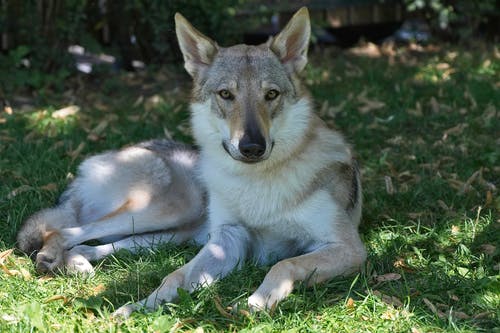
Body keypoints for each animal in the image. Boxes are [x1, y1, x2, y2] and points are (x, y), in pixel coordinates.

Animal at [16, 7, 368, 316]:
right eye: (226, 95)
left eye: (271, 95)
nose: (252, 147)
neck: (255, 184)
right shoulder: (228, 240)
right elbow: (175, 275)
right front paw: (136, 308)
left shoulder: (348, 248)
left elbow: (284, 264)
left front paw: (254, 304)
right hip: (170, 210)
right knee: (66, 231)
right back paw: (52, 257)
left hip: (172, 232)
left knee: (93, 244)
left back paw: (75, 263)